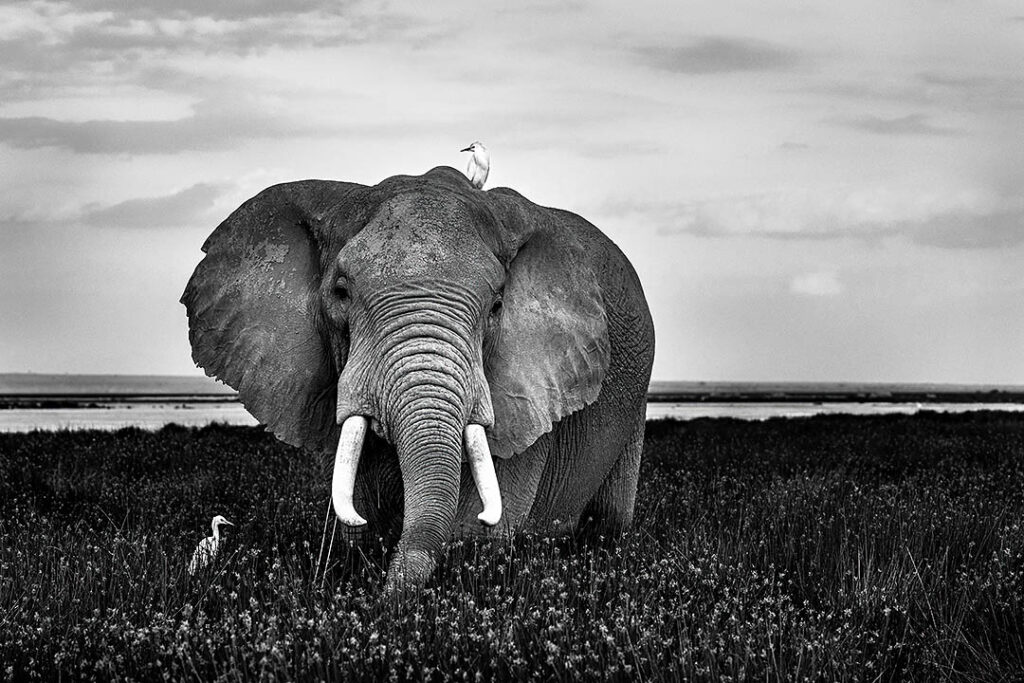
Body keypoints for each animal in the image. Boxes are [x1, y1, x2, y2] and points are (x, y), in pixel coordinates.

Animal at [181, 166, 655, 588]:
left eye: (497, 306)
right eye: (341, 292)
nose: (387, 604)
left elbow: (472, 531)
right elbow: (356, 521)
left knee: (610, 522)